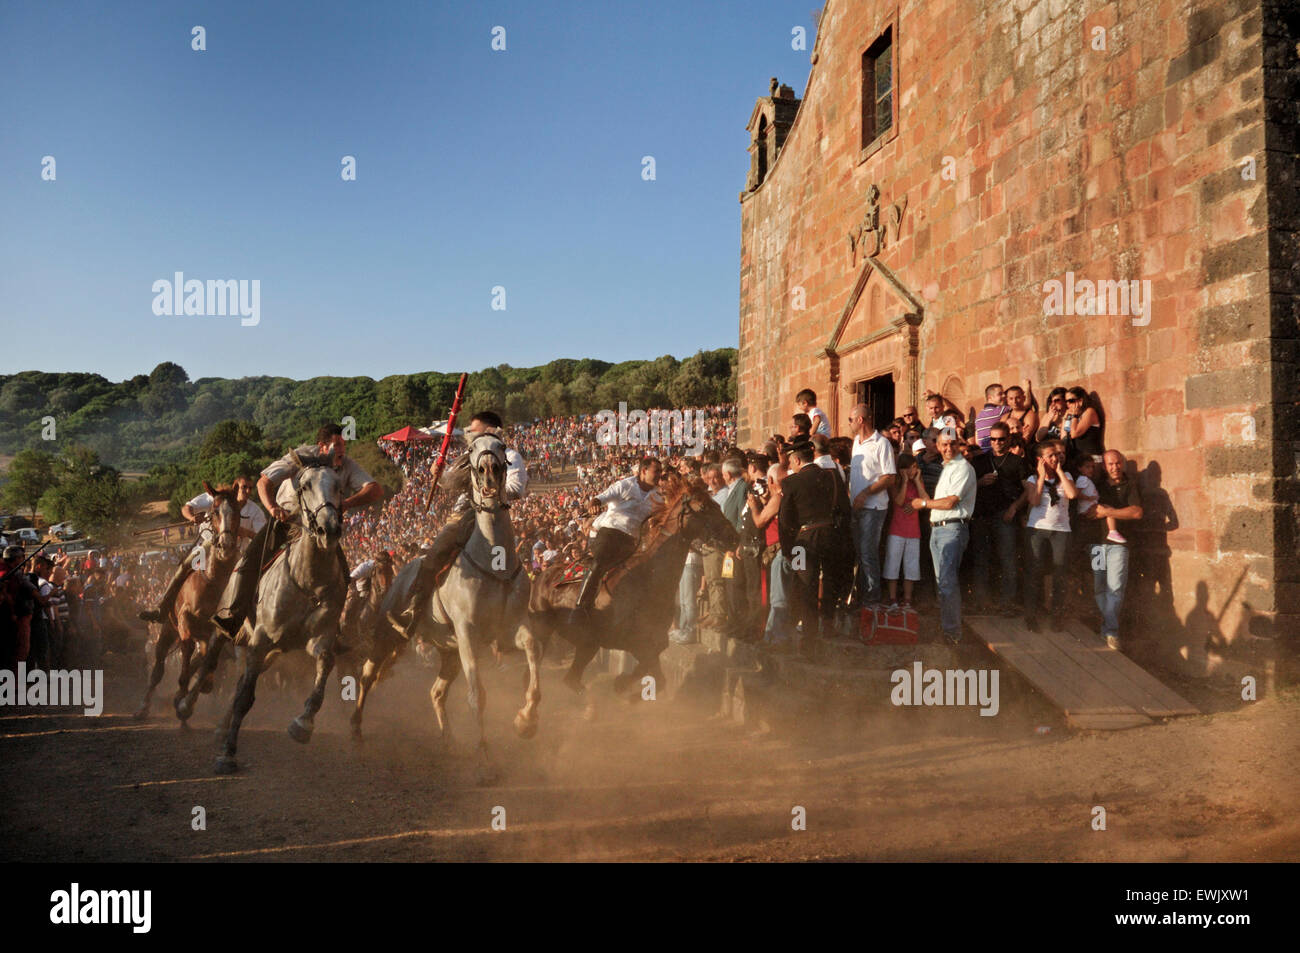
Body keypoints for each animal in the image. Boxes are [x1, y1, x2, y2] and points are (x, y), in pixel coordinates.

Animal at [134, 483, 244, 722]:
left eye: (238, 512)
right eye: (214, 511)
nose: (226, 545)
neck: (212, 582)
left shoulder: (216, 633)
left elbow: (204, 661)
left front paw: (190, 693)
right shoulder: (185, 621)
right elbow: (187, 652)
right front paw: (182, 692)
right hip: (168, 629)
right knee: (158, 670)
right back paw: (143, 707)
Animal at [361, 434, 538, 785]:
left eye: (501, 445)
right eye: (471, 449)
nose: (489, 471)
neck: (494, 561)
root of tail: (400, 574)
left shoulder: (510, 628)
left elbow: (532, 649)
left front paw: (525, 721)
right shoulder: (468, 633)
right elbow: (477, 695)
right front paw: (484, 762)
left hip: (449, 653)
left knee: (436, 693)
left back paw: (449, 741)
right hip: (389, 635)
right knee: (367, 674)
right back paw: (353, 728)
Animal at [525, 473, 733, 696]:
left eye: (717, 505)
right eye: (703, 507)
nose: (734, 536)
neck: (648, 579)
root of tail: (541, 577)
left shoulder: (650, 643)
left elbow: (657, 676)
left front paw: (623, 685)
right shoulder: (622, 641)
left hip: (583, 644)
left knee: (569, 677)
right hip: (544, 630)